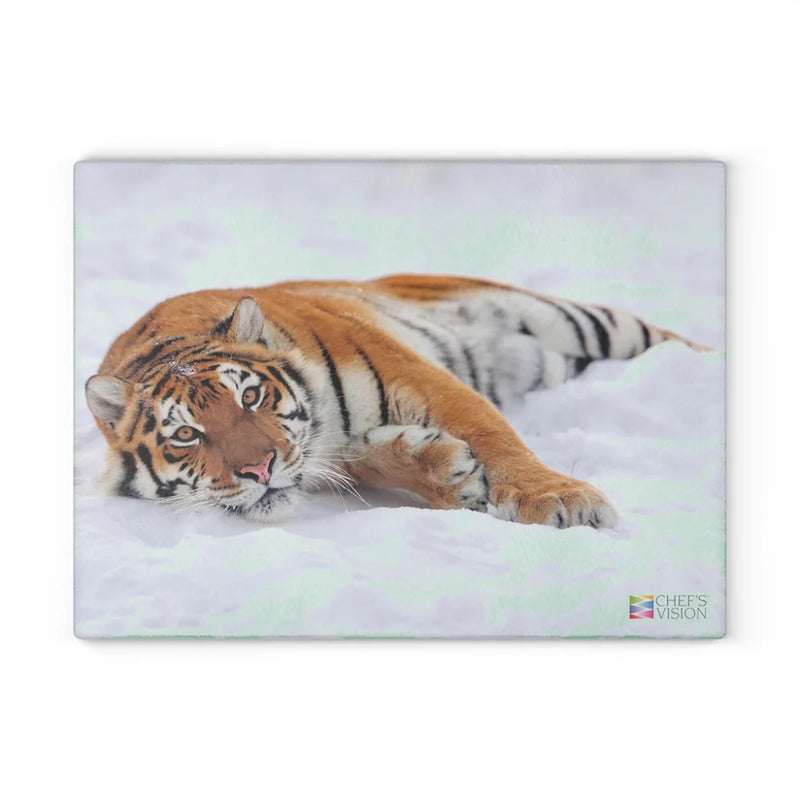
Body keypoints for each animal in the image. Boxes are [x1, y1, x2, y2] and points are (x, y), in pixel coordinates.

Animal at [85, 274, 706, 529]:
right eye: (186, 434)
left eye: (252, 396)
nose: (258, 469)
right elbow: (368, 460)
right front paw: (447, 472)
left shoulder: (414, 373)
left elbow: (492, 434)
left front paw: (560, 500)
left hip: (577, 319)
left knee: (677, 341)